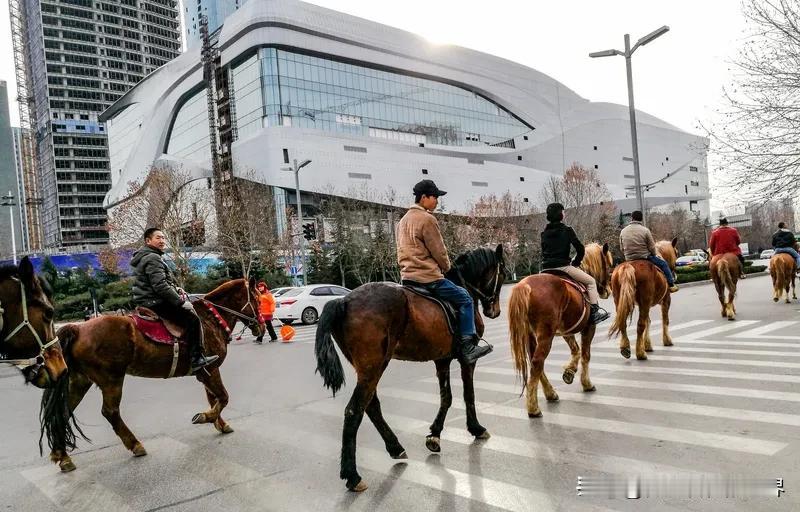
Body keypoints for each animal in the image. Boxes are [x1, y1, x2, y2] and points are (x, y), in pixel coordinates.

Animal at [45, 276, 264, 472]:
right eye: (257, 299)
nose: (261, 326)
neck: (210, 319)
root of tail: (78, 328)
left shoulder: (205, 373)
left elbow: (214, 398)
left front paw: (219, 423)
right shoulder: (211, 369)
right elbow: (223, 397)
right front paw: (206, 417)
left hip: (80, 381)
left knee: (63, 413)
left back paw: (62, 456)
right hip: (111, 380)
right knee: (110, 412)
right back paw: (135, 445)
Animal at [314, 245, 506, 492]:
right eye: (502, 274)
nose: (495, 311)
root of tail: (343, 301)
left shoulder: (442, 359)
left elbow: (446, 397)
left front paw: (434, 435)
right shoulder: (467, 360)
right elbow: (468, 395)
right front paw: (476, 428)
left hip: (368, 368)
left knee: (371, 406)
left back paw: (395, 447)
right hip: (374, 367)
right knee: (354, 410)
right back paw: (352, 475)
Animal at [510, 242, 616, 418]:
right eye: (609, 265)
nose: (607, 291)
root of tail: (524, 285)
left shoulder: (566, 329)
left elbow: (576, 350)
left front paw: (569, 372)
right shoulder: (589, 327)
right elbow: (585, 354)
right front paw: (586, 383)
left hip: (531, 335)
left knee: (535, 363)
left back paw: (550, 393)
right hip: (546, 335)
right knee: (538, 362)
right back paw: (533, 408)